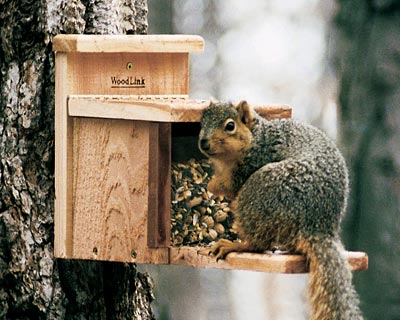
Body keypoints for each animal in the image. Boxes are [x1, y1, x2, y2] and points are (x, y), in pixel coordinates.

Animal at [198, 100, 364, 320]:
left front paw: (211, 185)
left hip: (259, 192)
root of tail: (318, 225)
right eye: (201, 123)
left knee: (258, 243)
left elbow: (229, 186)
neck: (256, 136)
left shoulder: (252, 163)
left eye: (230, 126)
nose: (203, 143)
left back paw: (234, 245)